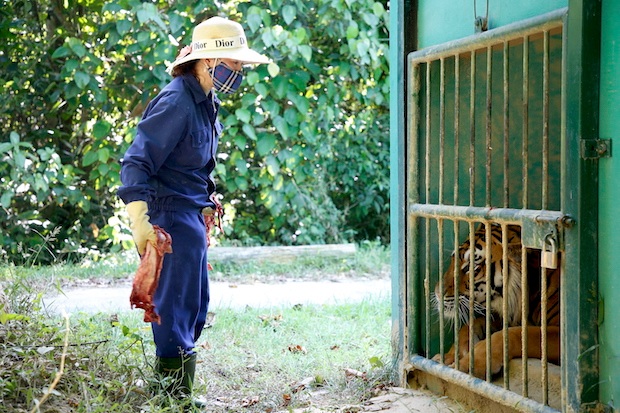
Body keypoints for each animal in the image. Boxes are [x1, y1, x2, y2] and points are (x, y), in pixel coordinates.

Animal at [432, 224, 560, 378]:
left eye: (470, 268)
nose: (438, 293)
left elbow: (513, 334)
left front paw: (469, 364)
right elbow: (470, 324)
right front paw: (449, 356)